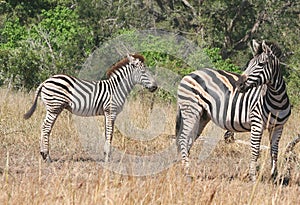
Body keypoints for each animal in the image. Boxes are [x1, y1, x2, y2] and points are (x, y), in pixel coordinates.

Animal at [24, 53, 158, 163]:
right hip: (54, 107)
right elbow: (110, 133)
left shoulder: (106, 113)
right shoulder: (111, 112)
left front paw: (105, 155)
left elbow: (107, 133)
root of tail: (45, 81)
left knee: (44, 127)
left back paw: (43, 155)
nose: (155, 87)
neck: (116, 88)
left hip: (53, 108)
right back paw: (47, 157)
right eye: (143, 71)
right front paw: (107, 157)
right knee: (46, 128)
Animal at [176, 40, 290, 181]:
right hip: (191, 110)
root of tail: (188, 74)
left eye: (261, 64)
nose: (239, 85)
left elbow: (274, 151)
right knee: (183, 138)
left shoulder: (278, 127)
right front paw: (253, 177)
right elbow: (255, 150)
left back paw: (183, 168)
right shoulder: (257, 123)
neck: (277, 99)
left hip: (202, 116)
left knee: (189, 139)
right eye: (249, 64)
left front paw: (274, 177)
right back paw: (186, 172)